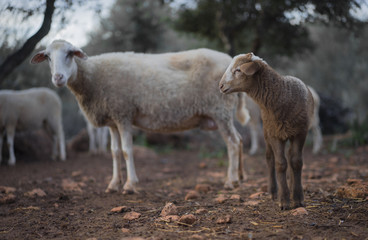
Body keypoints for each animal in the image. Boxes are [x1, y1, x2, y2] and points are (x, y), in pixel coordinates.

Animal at [30, 39, 250, 193]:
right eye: (48, 57)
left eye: (69, 54)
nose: (58, 78)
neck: (93, 76)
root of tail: (230, 61)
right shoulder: (113, 119)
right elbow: (114, 152)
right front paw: (113, 184)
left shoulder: (123, 114)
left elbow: (127, 151)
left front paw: (130, 185)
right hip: (223, 112)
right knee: (239, 140)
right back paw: (240, 177)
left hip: (220, 109)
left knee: (232, 143)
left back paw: (230, 181)